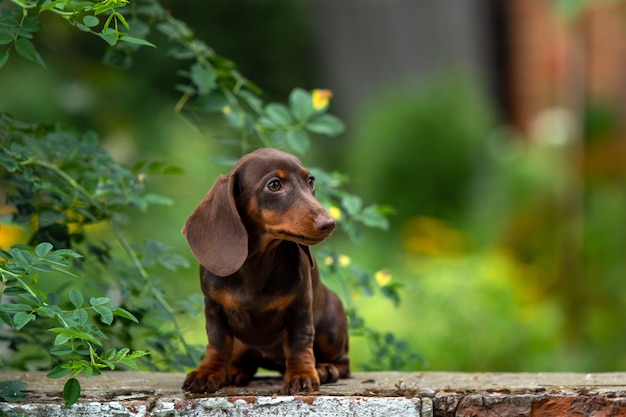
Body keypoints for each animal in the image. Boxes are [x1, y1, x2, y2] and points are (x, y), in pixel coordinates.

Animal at [182, 149, 352, 394]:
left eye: (310, 181)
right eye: (274, 185)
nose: (329, 223)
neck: (256, 263)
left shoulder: (300, 308)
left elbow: (300, 344)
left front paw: (301, 375)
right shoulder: (214, 308)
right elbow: (217, 343)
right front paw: (208, 371)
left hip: (330, 328)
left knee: (343, 363)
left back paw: (326, 369)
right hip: (243, 346)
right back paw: (233, 371)